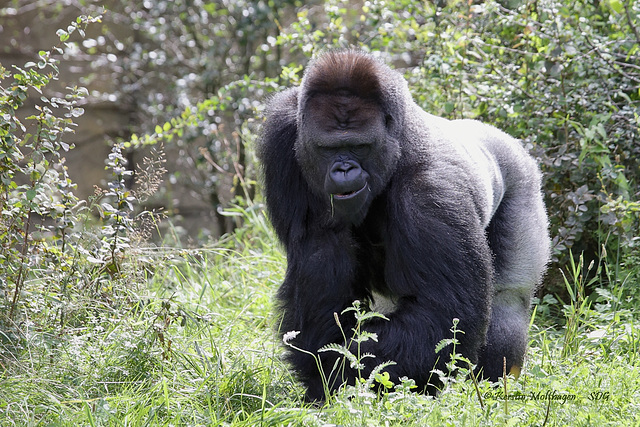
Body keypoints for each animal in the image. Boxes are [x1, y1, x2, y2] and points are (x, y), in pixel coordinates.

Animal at [258, 49, 548, 402]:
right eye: (328, 148)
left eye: (359, 146)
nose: (343, 170)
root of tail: (505, 138)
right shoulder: (283, 133)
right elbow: (318, 258)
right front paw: (322, 371)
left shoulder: (431, 193)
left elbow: (439, 316)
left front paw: (334, 374)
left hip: (523, 182)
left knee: (508, 301)